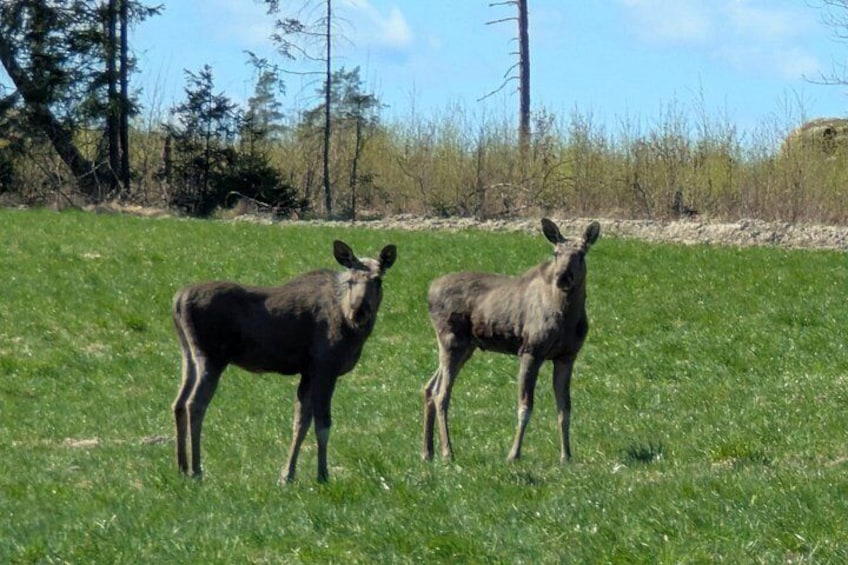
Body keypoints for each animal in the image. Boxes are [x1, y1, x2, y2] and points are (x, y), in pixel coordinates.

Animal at [171, 239, 397, 483]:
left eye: (378, 280)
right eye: (351, 280)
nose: (359, 311)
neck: (352, 331)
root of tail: (178, 300)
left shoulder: (308, 372)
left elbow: (300, 422)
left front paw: (287, 475)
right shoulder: (325, 367)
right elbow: (323, 424)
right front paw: (322, 475)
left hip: (188, 355)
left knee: (178, 402)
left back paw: (181, 467)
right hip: (211, 358)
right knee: (194, 404)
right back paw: (196, 470)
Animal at [422, 219, 600, 464]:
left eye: (581, 254)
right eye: (556, 253)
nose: (563, 277)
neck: (567, 317)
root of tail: (428, 292)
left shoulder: (567, 356)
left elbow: (564, 409)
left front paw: (566, 456)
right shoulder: (530, 350)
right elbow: (525, 408)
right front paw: (513, 454)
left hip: (466, 347)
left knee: (429, 387)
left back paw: (427, 452)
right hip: (451, 341)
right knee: (442, 394)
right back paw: (448, 451)